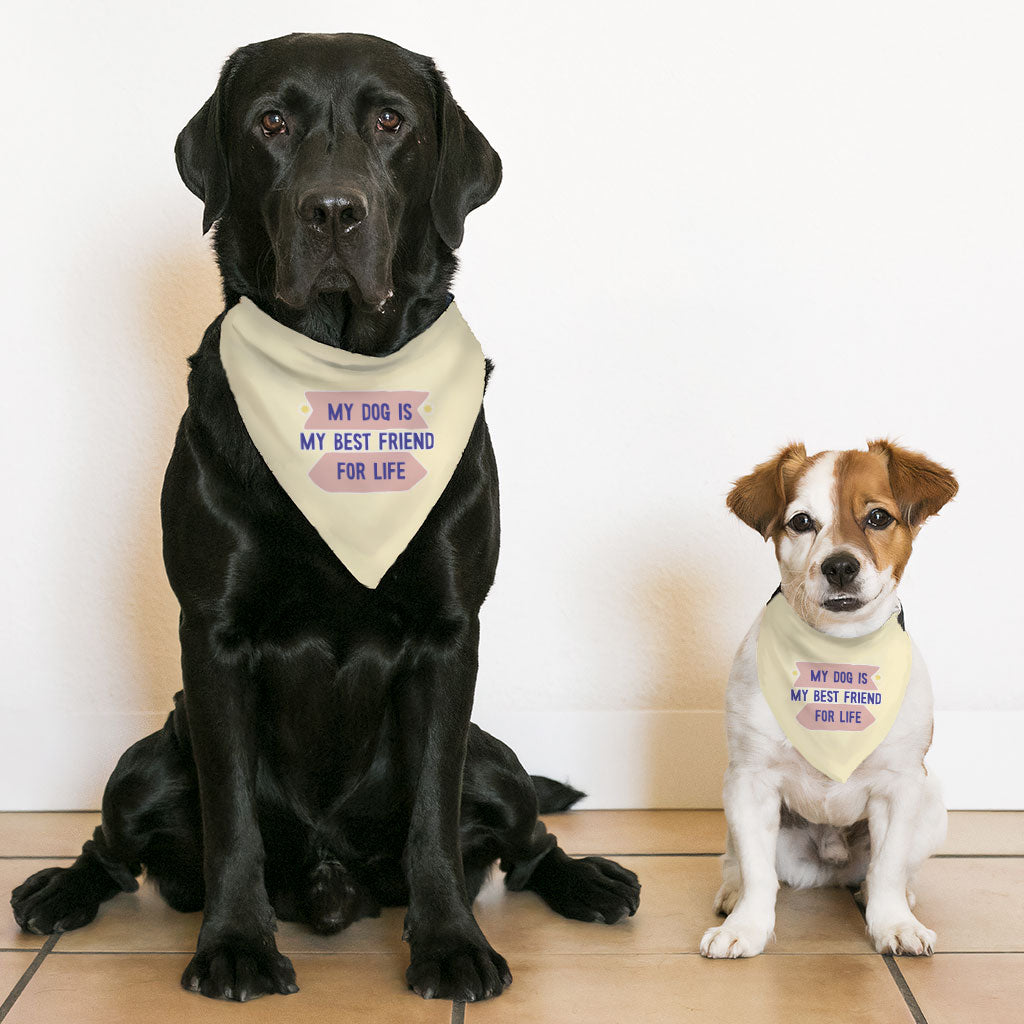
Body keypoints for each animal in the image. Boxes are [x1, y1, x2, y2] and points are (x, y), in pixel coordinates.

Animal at [9, 29, 638, 999]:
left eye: (391, 122)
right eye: (271, 122)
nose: (333, 211)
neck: (343, 375)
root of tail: (332, 876)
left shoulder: (450, 634)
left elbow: (432, 818)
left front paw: (450, 945)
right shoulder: (214, 635)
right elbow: (232, 817)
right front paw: (234, 944)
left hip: (493, 760)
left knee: (528, 834)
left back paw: (589, 881)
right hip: (146, 761)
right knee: (112, 844)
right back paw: (60, 890)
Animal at [700, 438, 954, 958]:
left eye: (878, 517)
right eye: (801, 521)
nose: (839, 565)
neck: (838, 656)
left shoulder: (900, 787)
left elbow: (888, 869)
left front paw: (893, 923)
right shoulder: (750, 782)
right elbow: (758, 874)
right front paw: (746, 927)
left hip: (932, 803)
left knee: (886, 871)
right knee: (739, 863)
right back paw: (732, 892)